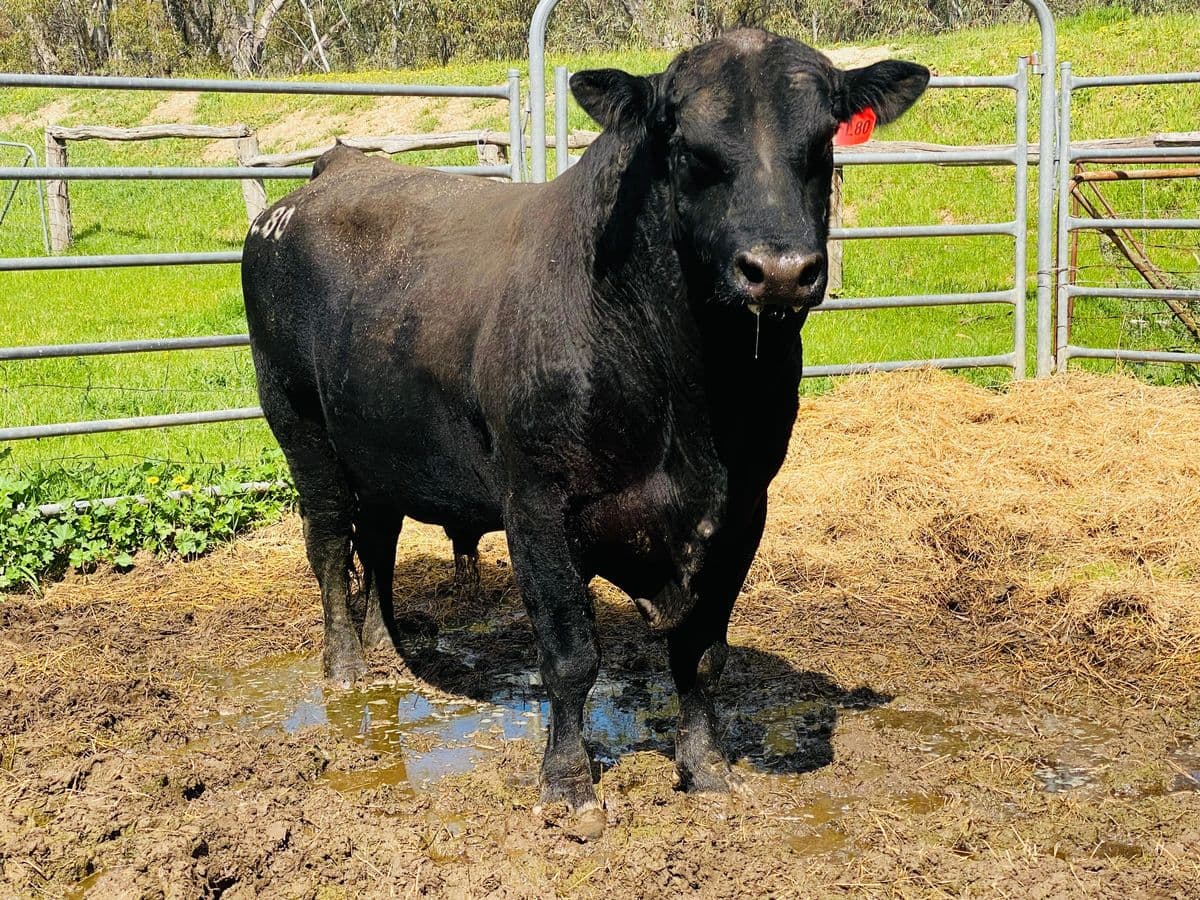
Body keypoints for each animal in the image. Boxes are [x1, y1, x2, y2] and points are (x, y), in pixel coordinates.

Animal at [242, 28, 928, 830]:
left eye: (822, 142)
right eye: (686, 145)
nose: (781, 270)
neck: (692, 395)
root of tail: (335, 171)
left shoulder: (744, 508)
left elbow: (703, 651)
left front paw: (707, 770)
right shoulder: (537, 507)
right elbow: (570, 658)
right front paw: (569, 785)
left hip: (380, 444)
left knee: (376, 541)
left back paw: (388, 648)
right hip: (298, 424)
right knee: (327, 543)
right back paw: (347, 667)